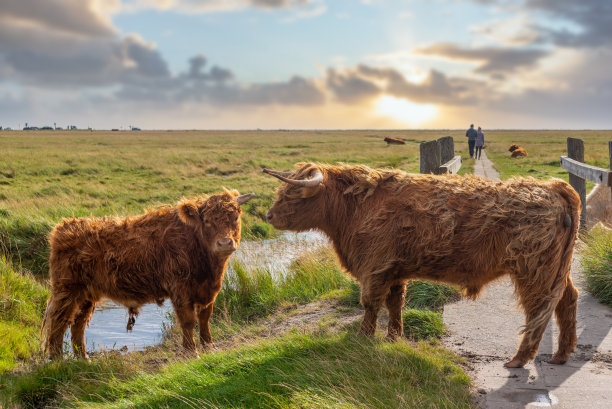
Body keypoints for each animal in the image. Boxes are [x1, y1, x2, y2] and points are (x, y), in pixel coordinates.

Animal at [42, 190, 253, 358]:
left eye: (235, 217)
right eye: (207, 221)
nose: (224, 243)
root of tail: (64, 227)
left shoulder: (207, 290)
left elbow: (205, 317)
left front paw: (209, 346)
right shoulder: (180, 289)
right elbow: (187, 320)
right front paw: (191, 351)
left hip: (87, 293)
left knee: (78, 324)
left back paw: (84, 359)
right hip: (66, 290)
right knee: (58, 322)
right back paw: (58, 360)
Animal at [262, 162, 580, 366]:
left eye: (293, 194)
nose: (268, 215)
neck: (354, 209)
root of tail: (553, 187)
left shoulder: (374, 267)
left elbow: (370, 304)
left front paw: (362, 338)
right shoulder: (393, 269)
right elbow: (395, 303)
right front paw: (394, 337)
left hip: (534, 269)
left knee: (538, 309)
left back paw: (519, 359)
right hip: (555, 270)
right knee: (567, 299)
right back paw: (561, 354)